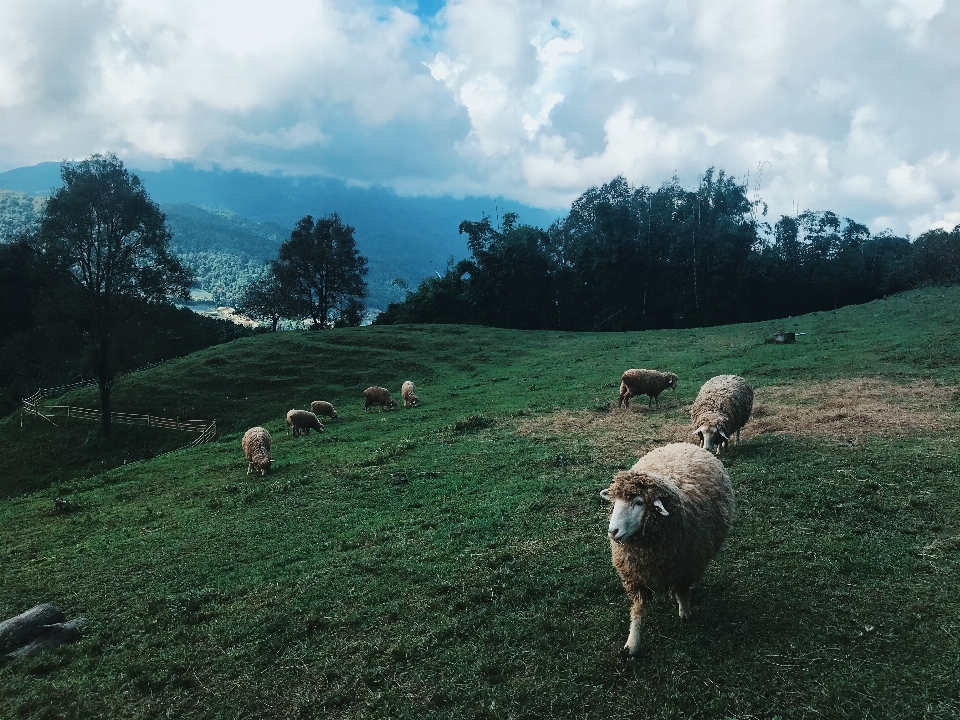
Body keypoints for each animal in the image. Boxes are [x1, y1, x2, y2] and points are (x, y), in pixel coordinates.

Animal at [600, 442, 736, 656]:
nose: (613, 532)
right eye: (615, 502)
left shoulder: (683, 566)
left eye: (639, 502)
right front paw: (632, 643)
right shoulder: (636, 575)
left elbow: (681, 591)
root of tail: (683, 444)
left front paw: (685, 613)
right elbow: (638, 609)